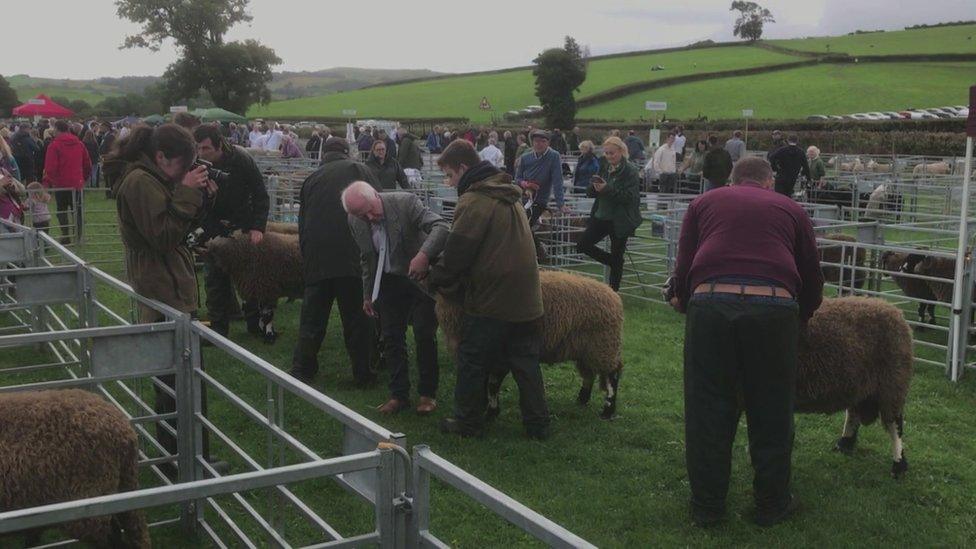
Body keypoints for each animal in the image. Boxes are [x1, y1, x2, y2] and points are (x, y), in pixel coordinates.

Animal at [436, 270, 624, 420]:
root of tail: (612, 295)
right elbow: (483, 381)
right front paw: (483, 406)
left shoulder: (499, 355)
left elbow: (493, 384)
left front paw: (491, 412)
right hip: (586, 349)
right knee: (589, 373)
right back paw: (582, 399)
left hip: (602, 346)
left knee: (612, 375)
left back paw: (607, 411)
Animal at [800, 296, 916, 476]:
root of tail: (893, 310)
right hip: (858, 385)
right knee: (853, 413)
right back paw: (844, 443)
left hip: (892, 383)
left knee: (895, 424)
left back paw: (898, 465)